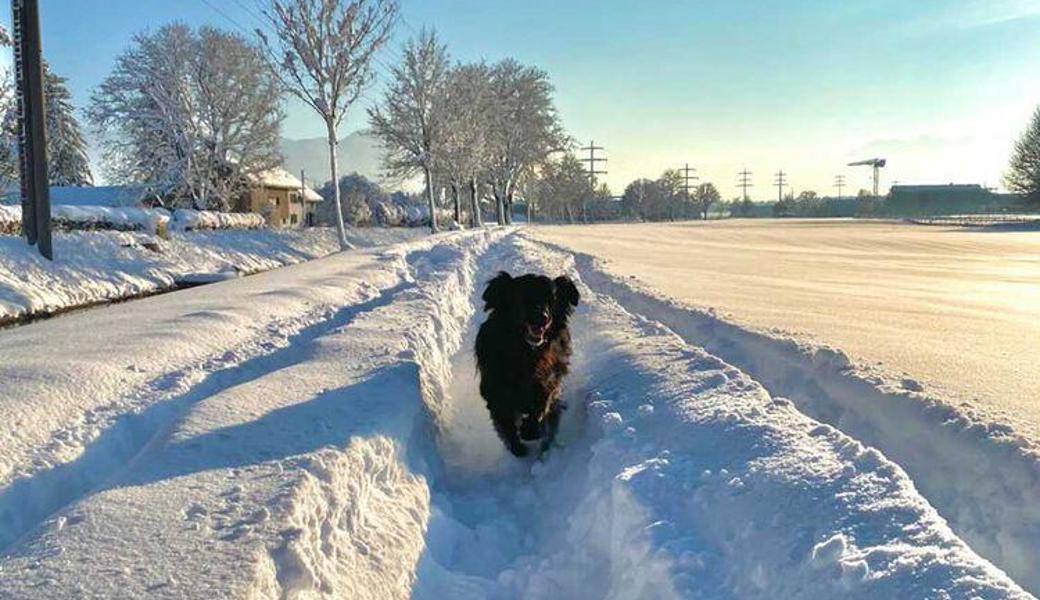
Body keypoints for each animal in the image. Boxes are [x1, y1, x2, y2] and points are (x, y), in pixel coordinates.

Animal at [476, 268, 582, 455]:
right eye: (524, 297)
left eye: (552, 300)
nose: (543, 317)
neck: (524, 353)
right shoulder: (495, 394)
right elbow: (506, 425)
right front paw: (517, 448)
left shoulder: (549, 379)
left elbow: (543, 400)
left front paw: (530, 430)